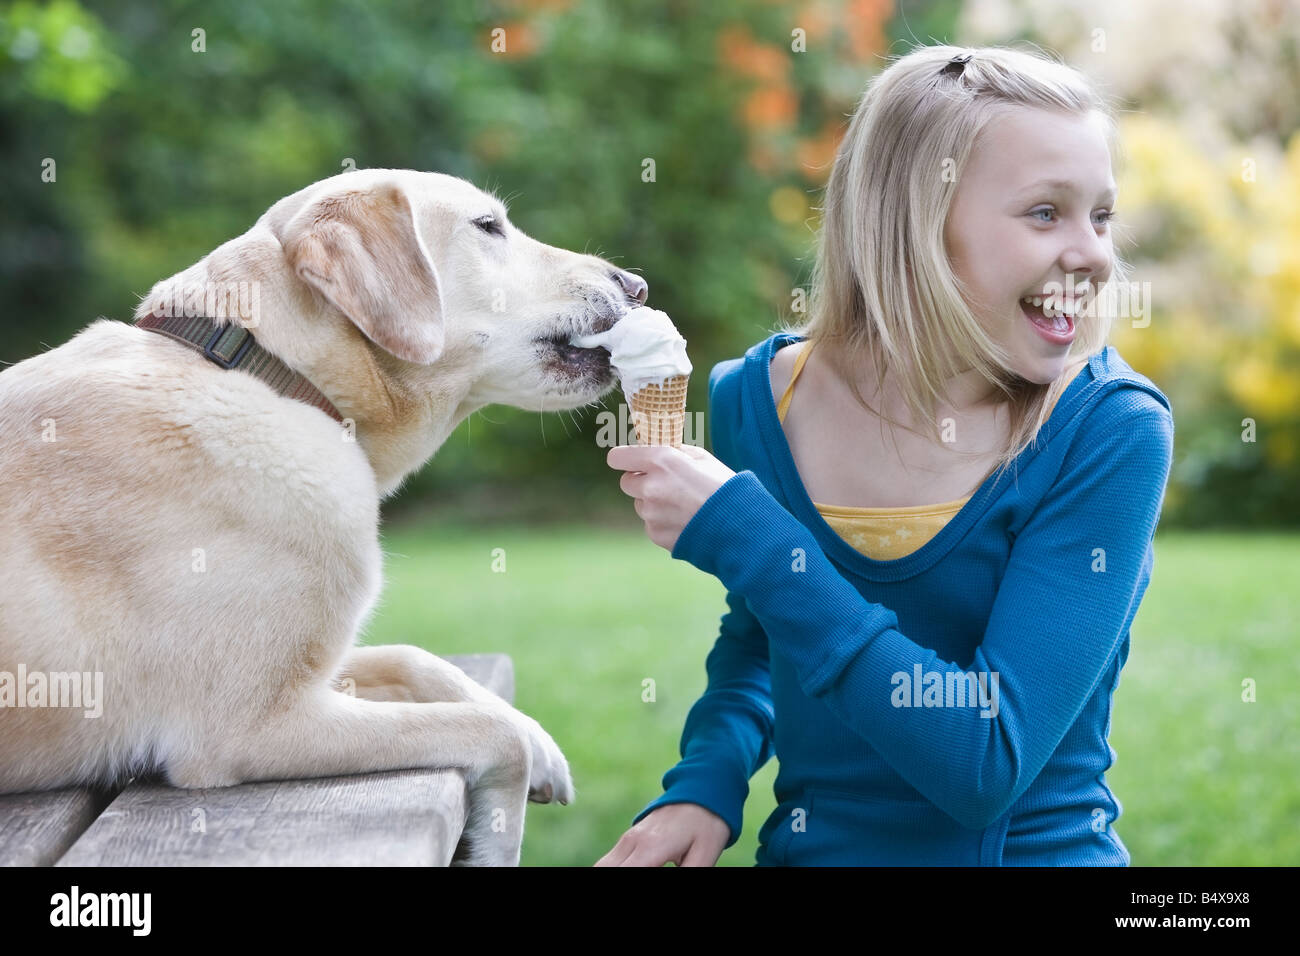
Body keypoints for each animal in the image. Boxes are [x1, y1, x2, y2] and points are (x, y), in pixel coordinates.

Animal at [0, 170, 637, 868]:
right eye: (488, 226)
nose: (636, 286)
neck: (275, 376)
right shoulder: (249, 728)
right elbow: (492, 731)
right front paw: (499, 831)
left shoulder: (319, 674)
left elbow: (418, 660)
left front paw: (542, 743)